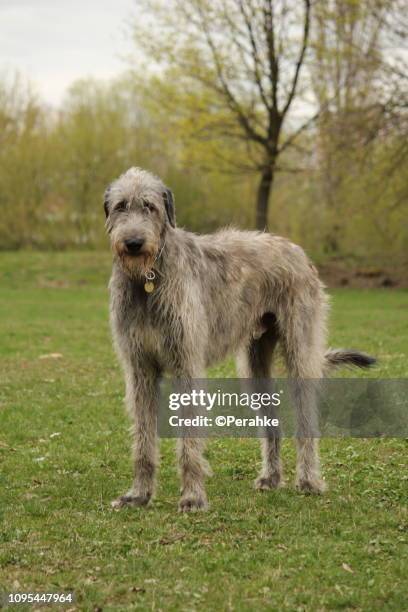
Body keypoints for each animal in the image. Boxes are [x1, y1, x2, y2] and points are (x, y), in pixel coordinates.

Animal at [105, 166, 376, 512]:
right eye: (120, 206)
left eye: (149, 207)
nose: (134, 243)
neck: (148, 279)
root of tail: (297, 250)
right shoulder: (140, 368)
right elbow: (142, 438)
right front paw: (139, 494)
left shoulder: (186, 363)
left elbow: (189, 438)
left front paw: (193, 496)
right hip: (255, 364)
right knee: (273, 421)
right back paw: (271, 478)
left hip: (300, 347)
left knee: (306, 418)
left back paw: (309, 481)